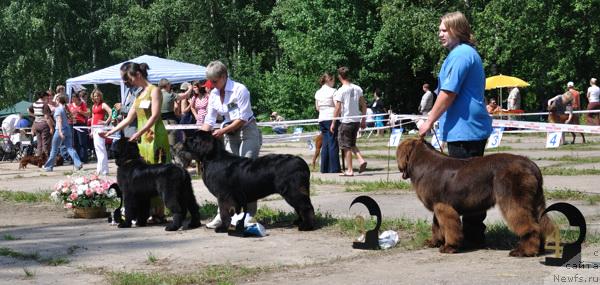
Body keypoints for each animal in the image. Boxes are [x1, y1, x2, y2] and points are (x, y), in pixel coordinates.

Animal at [183, 130, 316, 232]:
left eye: (193, 139)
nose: (183, 141)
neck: (212, 158)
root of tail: (302, 163)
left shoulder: (224, 196)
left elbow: (224, 212)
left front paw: (222, 228)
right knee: (300, 207)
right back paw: (298, 222)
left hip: (293, 191)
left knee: (305, 207)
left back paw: (306, 226)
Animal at [398, 137, 552, 255]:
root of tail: (531, 165)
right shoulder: (438, 206)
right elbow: (436, 226)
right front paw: (434, 242)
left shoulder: (443, 206)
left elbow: (448, 227)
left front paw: (449, 247)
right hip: (534, 200)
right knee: (540, 223)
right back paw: (539, 249)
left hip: (514, 198)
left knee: (530, 226)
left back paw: (524, 251)